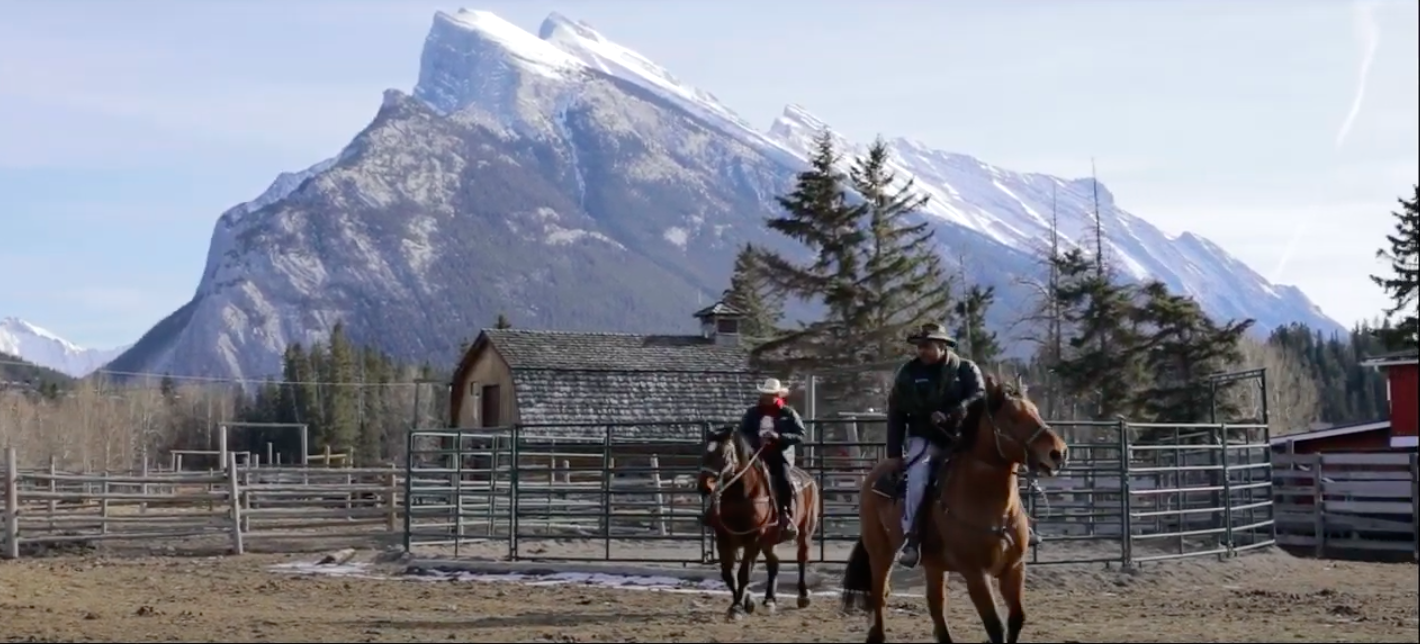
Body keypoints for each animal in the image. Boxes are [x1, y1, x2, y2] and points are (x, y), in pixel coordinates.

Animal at [698, 425, 823, 621]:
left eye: (723, 454)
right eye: (705, 452)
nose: (703, 486)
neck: (741, 496)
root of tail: (808, 478)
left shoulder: (753, 539)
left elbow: (743, 573)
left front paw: (737, 608)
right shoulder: (723, 539)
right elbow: (728, 574)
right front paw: (747, 601)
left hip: (805, 531)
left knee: (802, 558)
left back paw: (803, 596)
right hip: (769, 540)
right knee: (774, 563)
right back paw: (769, 600)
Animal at [840, 377, 1067, 644]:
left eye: (1036, 411)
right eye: (1013, 417)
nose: (1058, 452)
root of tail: (874, 474)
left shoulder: (1014, 568)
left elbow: (1016, 619)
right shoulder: (976, 574)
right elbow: (995, 626)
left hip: (933, 564)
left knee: (935, 603)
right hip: (880, 552)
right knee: (880, 594)